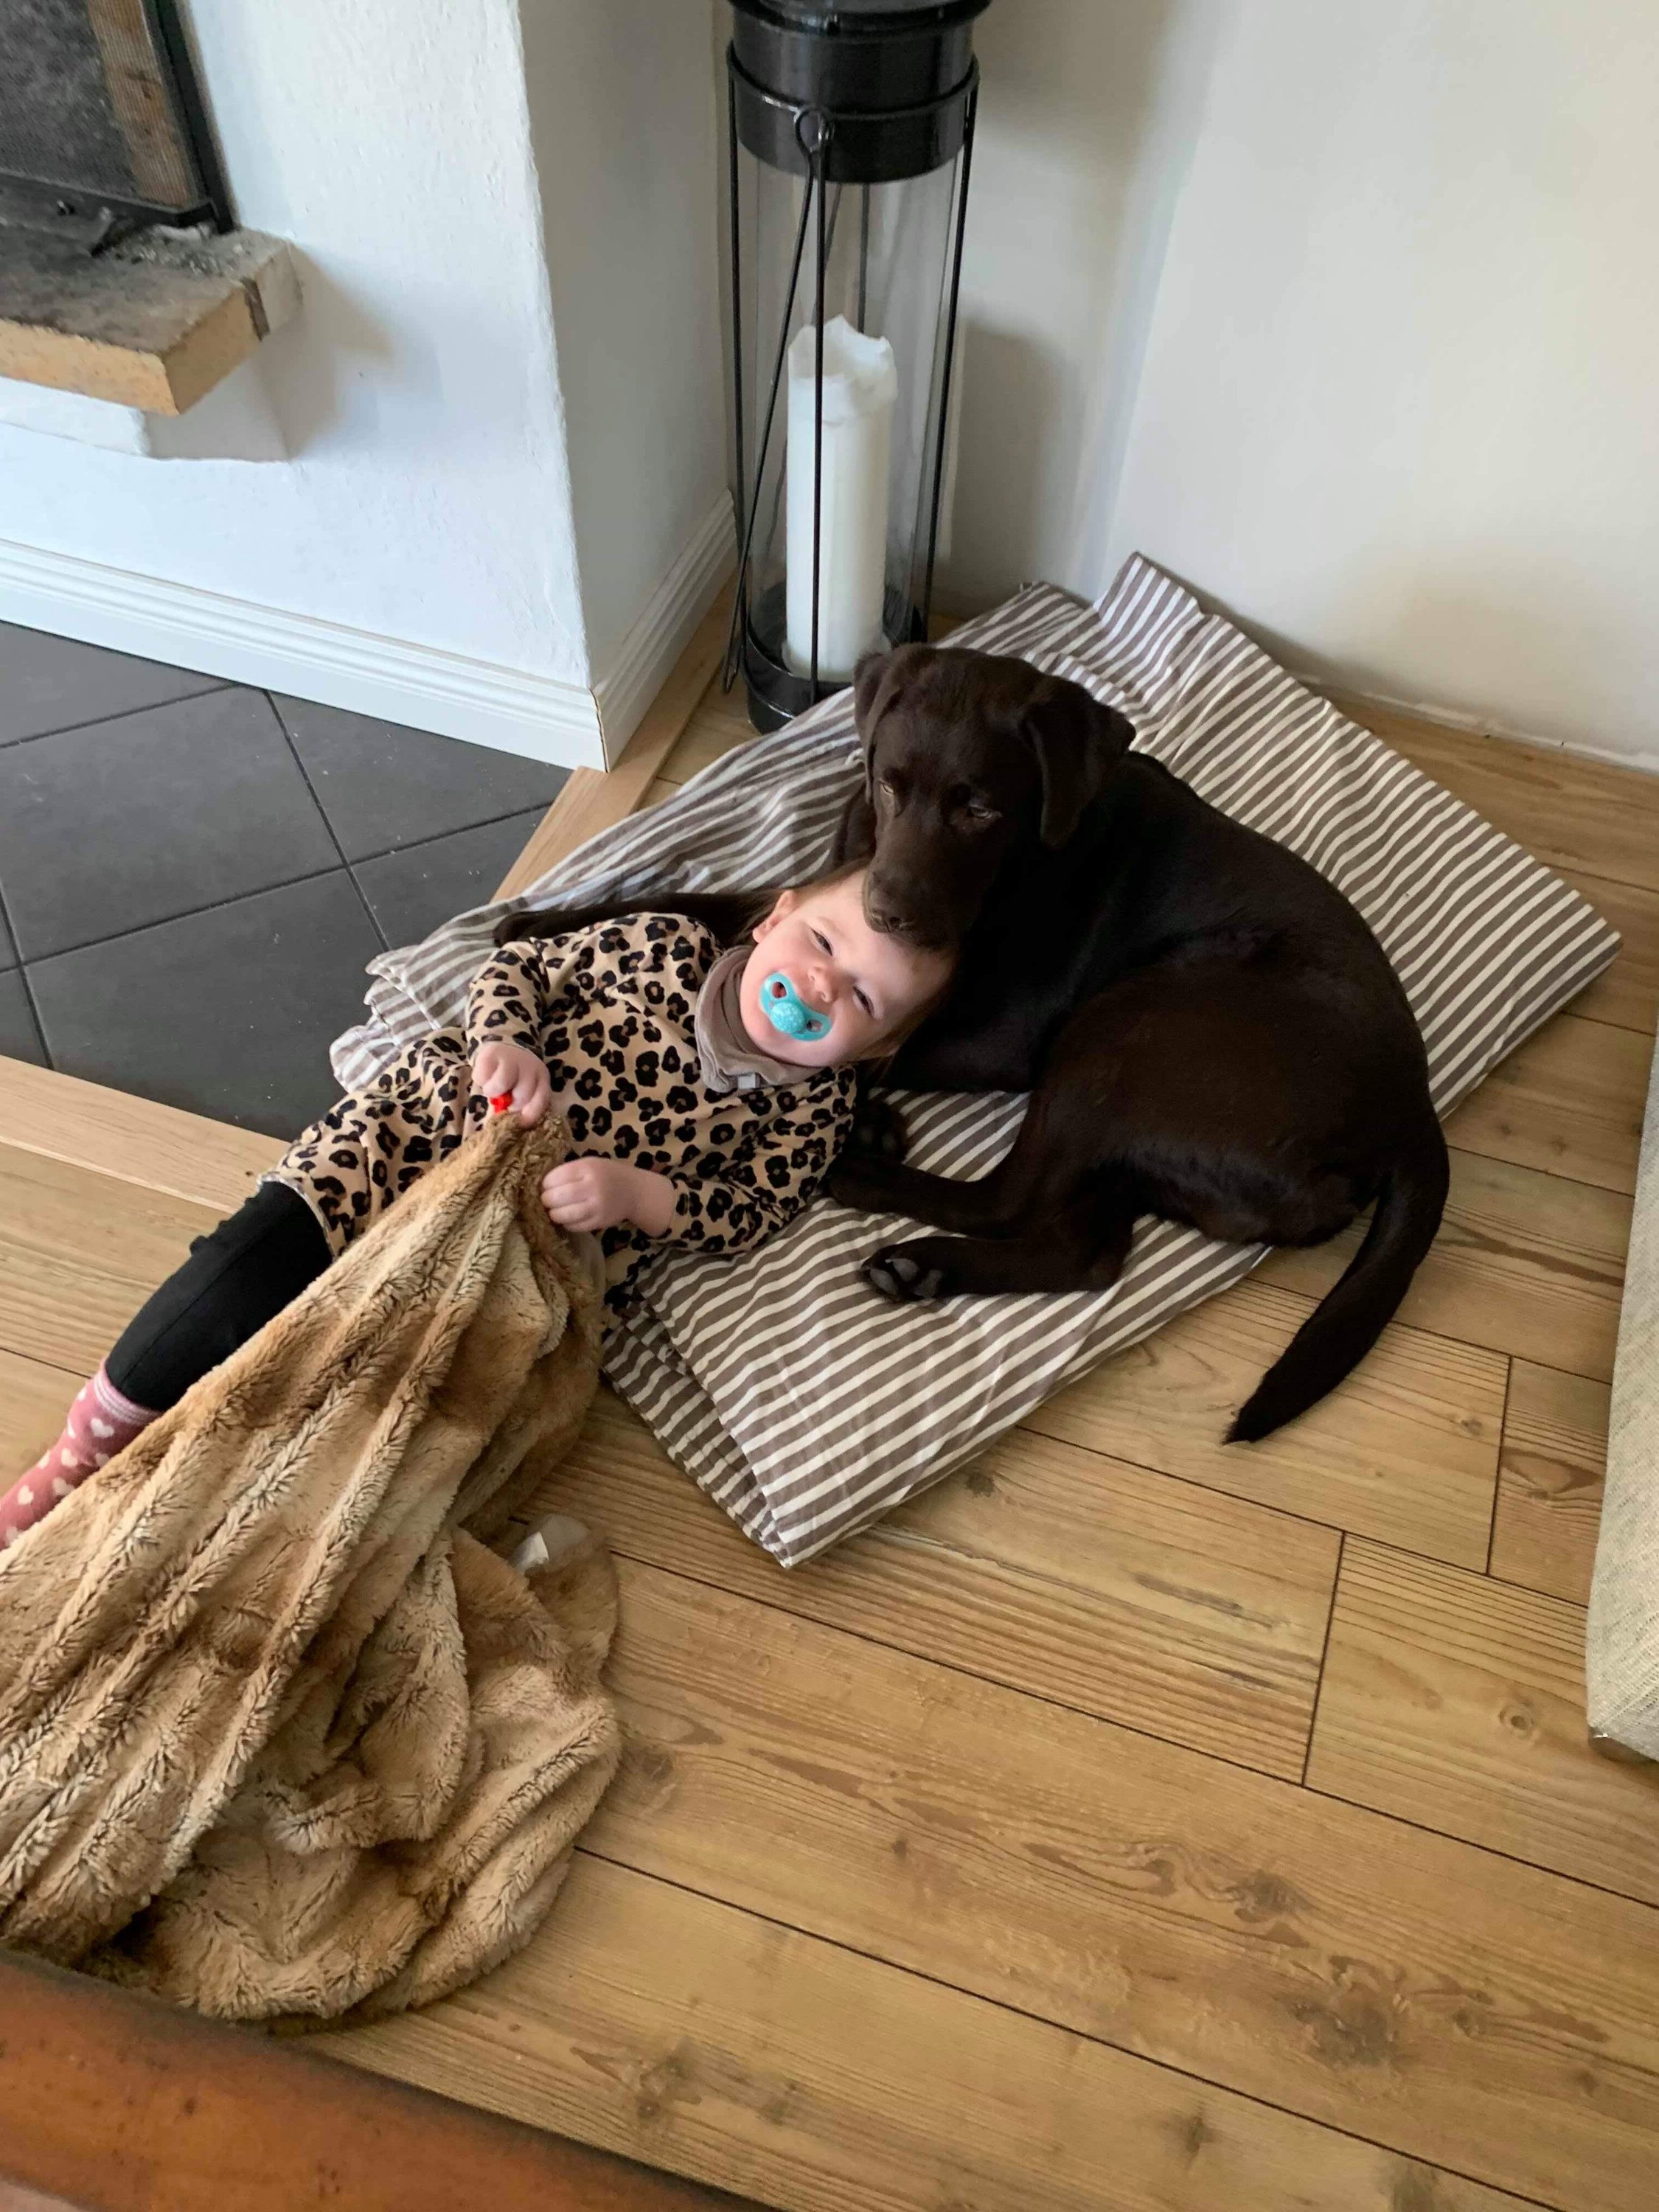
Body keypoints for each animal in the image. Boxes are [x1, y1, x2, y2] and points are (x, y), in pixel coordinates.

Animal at [495, 643, 1448, 1441]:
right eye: (888, 784)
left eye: (980, 809)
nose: (889, 912)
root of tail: (1414, 1114)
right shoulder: (816, 885)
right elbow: (704, 903)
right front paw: (542, 920)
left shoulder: (1002, 1035)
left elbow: (865, 1049)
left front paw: (861, 1119)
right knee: (1092, 1253)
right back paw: (927, 1268)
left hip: (1129, 1026)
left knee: (1010, 1198)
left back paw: (872, 1191)